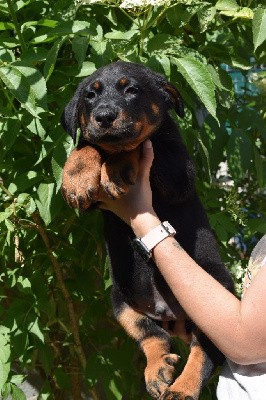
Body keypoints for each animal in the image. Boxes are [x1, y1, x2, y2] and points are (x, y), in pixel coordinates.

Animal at [61, 61, 234, 400]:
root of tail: (169, 312)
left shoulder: (179, 170)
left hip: (214, 293)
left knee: (205, 351)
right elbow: (88, 146)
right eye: (90, 96)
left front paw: (118, 167)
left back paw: (182, 388)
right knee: (153, 336)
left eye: (131, 90)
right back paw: (158, 369)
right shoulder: (94, 202)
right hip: (120, 301)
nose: (104, 116)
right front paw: (76, 176)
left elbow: (140, 145)